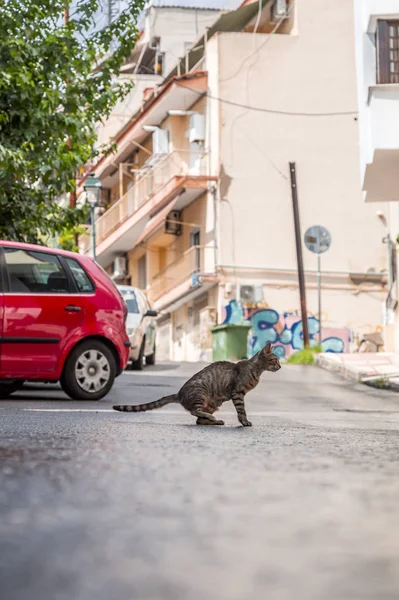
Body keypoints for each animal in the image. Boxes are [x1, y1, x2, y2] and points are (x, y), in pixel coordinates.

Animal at [112, 342, 282, 426]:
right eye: (274, 360)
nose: (280, 366)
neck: (256, 370)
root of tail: (179, 394)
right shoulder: (238, 393)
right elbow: (242, 410)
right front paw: (244, 422)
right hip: (201, 393)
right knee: (195, 412)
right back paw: (211, 418)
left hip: (213, 403)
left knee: (198, 420)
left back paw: (214, 421)